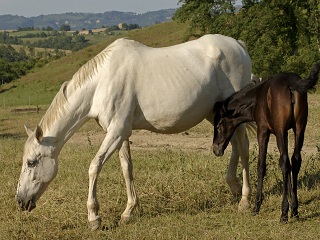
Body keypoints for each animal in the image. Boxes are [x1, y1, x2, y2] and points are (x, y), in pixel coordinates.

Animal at [16, 34, 252, 231]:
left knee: (244, 148)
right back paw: (233, 187)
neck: (102, 82)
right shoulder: (121, 133)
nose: (20, 201)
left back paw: (245, 200)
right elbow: (126, 168)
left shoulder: (116, 131)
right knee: (235, 146)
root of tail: (239, 45)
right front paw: (129, 212)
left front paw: (94, 218)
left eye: (31, 162)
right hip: (215, 114)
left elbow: (94, 166)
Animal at [212, 62, 320, 223]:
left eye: (218, 125)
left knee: (284, 162)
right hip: (300, 127)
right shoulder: (287, 132)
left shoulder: (263, 131)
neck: (257, 97)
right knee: (295, 161)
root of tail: (292, 84)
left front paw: (257, 206)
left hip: (280, 131)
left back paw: (283, 213)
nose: (215, 149)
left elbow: (261, 165)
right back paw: (294, 210)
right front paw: (292, 204)